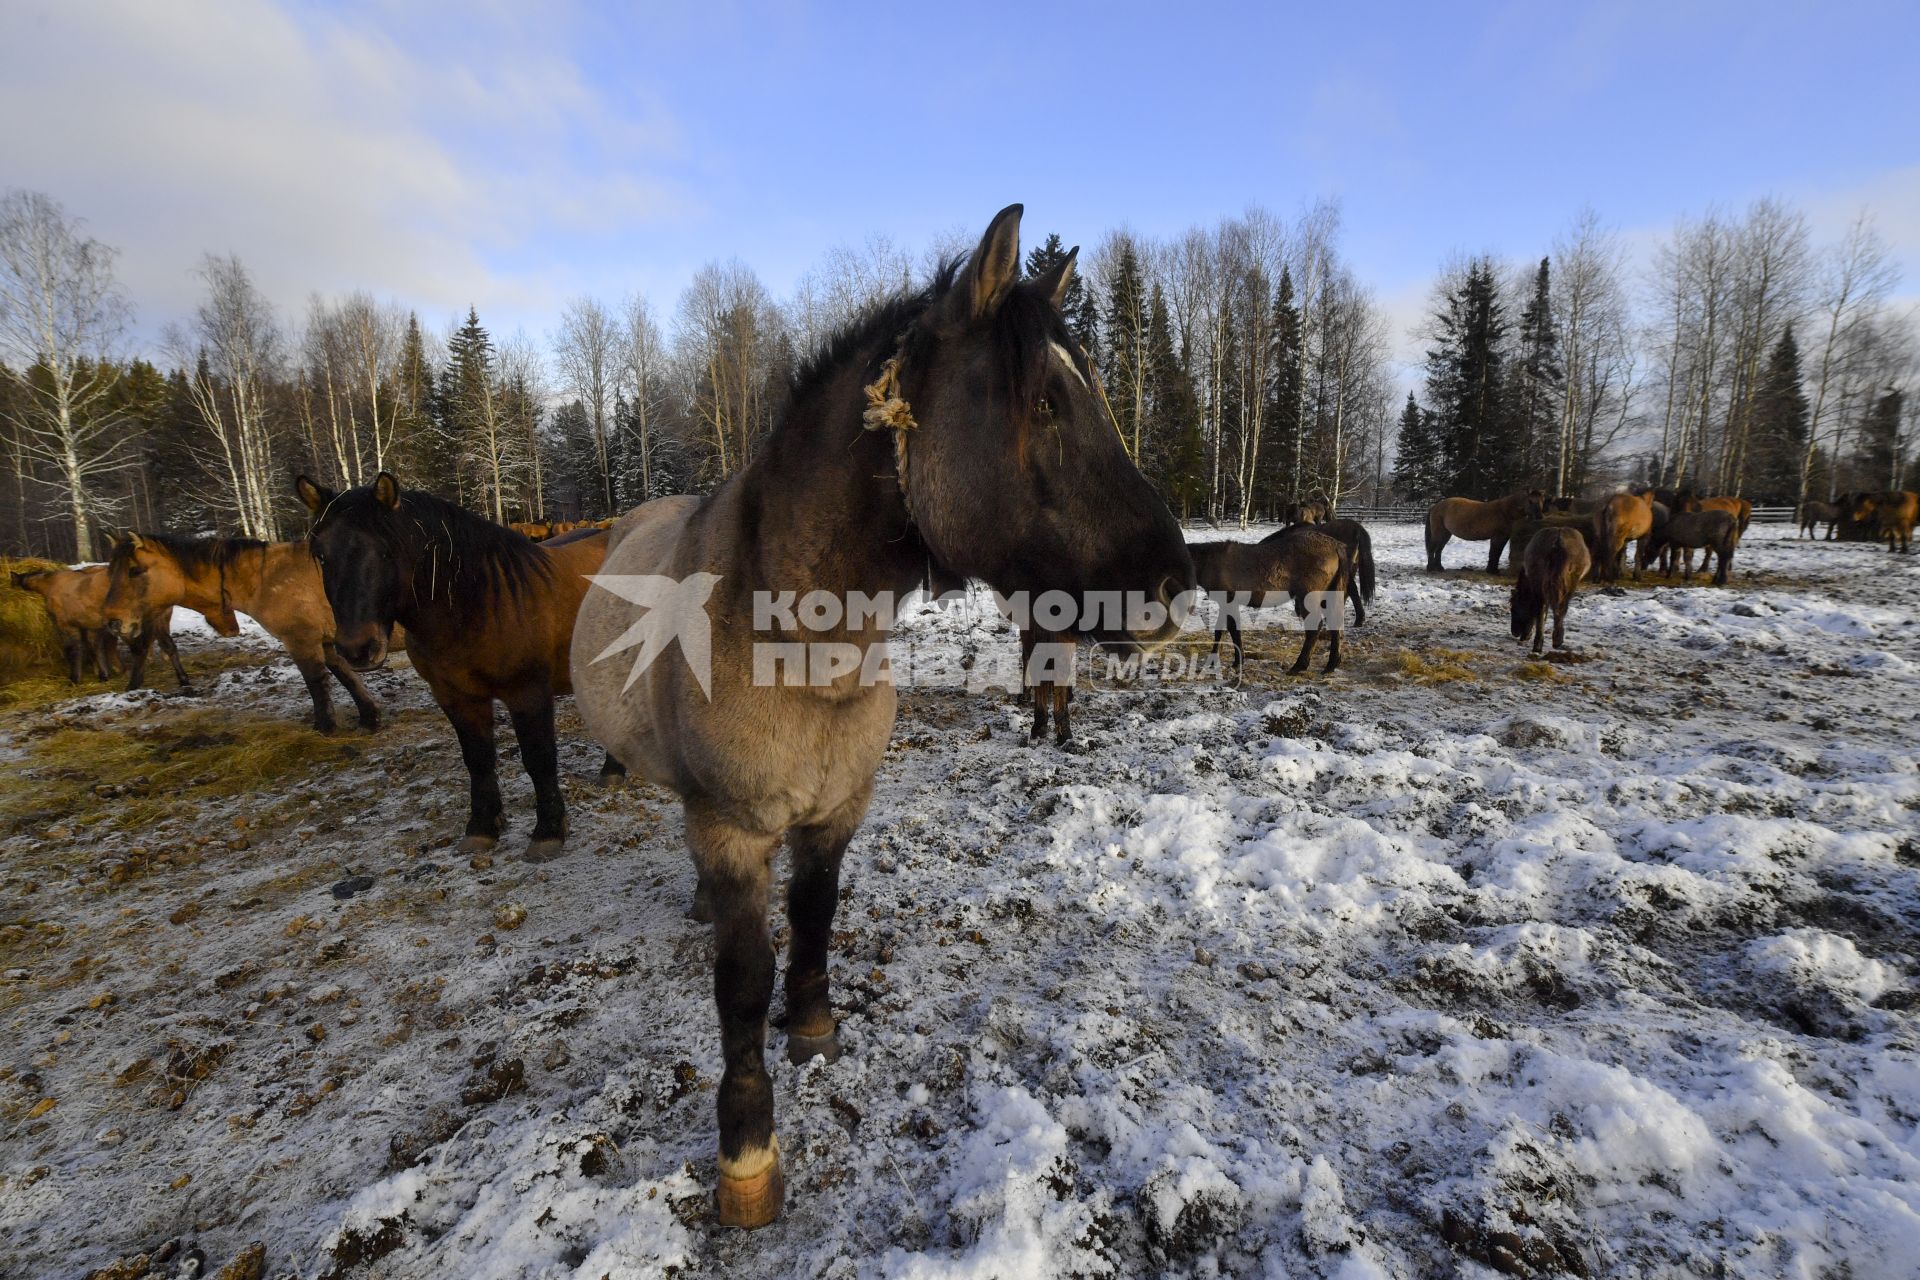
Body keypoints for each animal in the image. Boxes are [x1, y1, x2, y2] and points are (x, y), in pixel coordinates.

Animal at [103, 529, 380, 729]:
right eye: (110, 572)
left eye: (135, 570)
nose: (113, 622)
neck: (265, 578)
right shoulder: (325, 642)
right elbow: (345, 675)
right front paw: (369, 717)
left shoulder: (300, 640)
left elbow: (316, 683)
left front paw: (324, 727)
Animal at [295, 475, 610, 867]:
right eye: (321, 555)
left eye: (386, 551)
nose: (357, 649)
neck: (476, 605)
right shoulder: (456, 696)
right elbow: (477, 759)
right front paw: (482, 828)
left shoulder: (528, 693)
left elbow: (538, 759)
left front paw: (548, 832)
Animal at [560, 205, 1190, 1228]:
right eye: (1045, 404)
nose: (1175, 588)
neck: (790, 640)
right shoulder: (733, 828)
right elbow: (743, 982)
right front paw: (748, 1151)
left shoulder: (837, 811)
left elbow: (814, 916)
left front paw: (814, 1026)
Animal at [1182, 529, 1351, 675]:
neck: (1207, 563)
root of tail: (1337, 546)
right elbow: (1221, 631)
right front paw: (1214, 660)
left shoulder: (1229, 599)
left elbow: (1232, 630)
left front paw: (1238, 662)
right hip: (1330, 593)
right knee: (1336, 625)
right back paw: (1331, 665)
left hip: (1308, 596)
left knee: (1315, 627)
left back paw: (1299, 666)